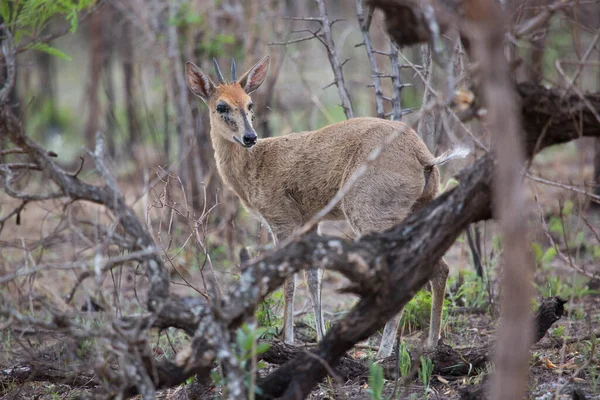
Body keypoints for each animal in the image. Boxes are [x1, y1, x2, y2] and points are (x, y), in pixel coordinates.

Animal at [185, 54, 466, 358]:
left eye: (249, 103)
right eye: (221, 106)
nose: (250, 137)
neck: (253, 165)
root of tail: (425, 157)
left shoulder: (281, 220)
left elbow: (289, 281)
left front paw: (288, 341)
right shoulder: (310, 222)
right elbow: (314, 279)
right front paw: (319, 339)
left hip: (372, 214)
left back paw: (383, 354)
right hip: (417, 209)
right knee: (441, 268)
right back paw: (431, 345)